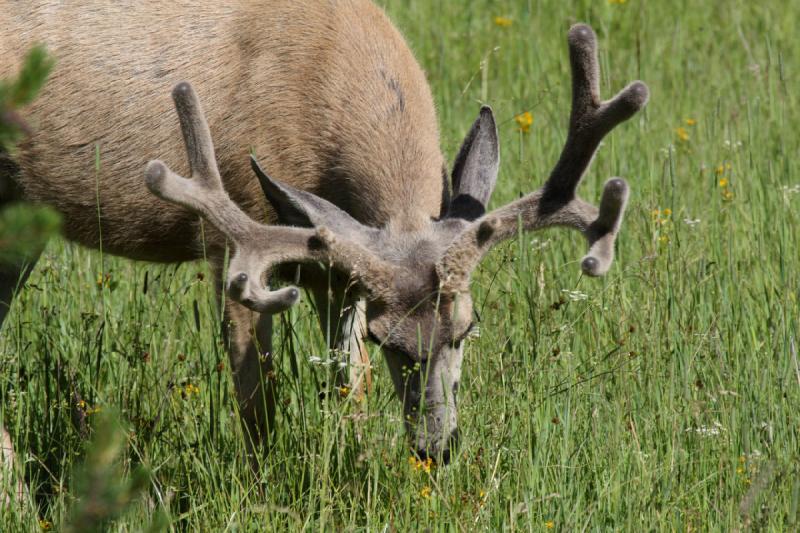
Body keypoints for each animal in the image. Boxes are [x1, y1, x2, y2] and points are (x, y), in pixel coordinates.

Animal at [0, 1, 648, 502]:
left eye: (468, 327)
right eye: (391, 341)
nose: (436, 449)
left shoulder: (336, 275)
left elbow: (348, 383)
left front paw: (357, 468)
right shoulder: (233, 240)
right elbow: (256, 392)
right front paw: (262, 490)